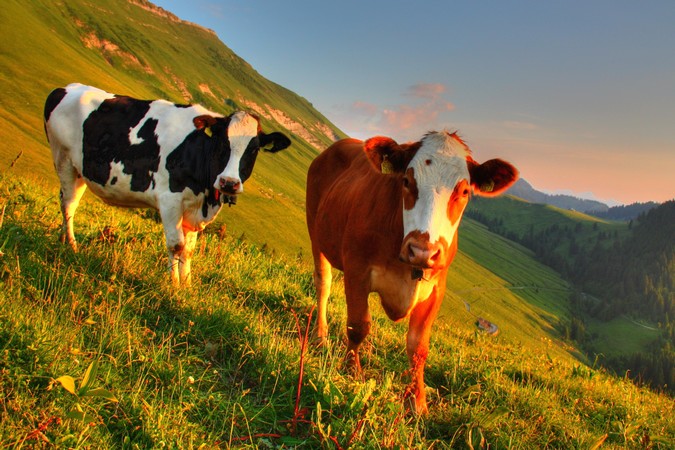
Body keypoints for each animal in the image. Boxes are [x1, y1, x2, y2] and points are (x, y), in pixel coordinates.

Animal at [44, 83, 291, 285]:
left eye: (254, 149)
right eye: (222, 141)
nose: (229, 183)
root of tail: (66, 88)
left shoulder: (193, 210)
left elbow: (189, 250)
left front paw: (187, 285)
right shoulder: (170, 199)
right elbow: (176, 245)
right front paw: (173, 284)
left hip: (80, 170)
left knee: (70, 202)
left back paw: (65, 240)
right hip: (63, 158)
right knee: (68, 205)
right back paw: (71, 245)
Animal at [306, 132, 517, 414]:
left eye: (464, 191)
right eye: (406, 181)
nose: (422, 251)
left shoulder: (436, 289)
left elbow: (418, 346)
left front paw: (417, 401)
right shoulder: (357, 270)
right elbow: (358, 326)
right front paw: (352, 370)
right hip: (315, 232)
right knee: (324, 284)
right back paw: (320, 335)